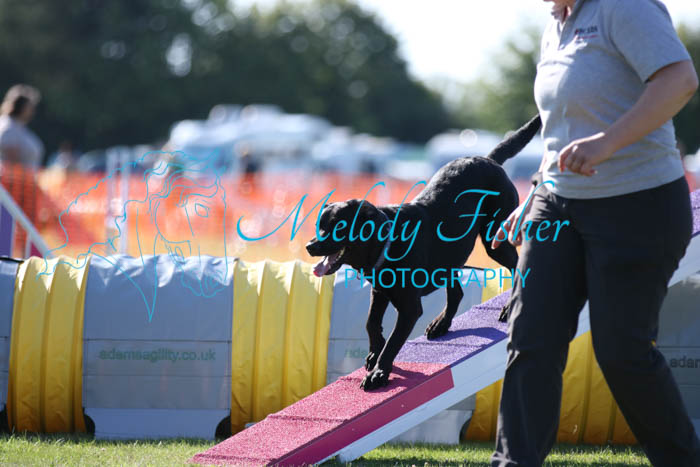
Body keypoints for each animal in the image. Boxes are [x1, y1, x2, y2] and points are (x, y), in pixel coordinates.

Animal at [306, 115, 541, 391]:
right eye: (320, 225)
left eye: (338, 226)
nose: (310, 246)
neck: (385, 243)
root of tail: (488, 159)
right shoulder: (379, 292)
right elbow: (371, 323)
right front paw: (374, 353)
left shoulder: (409, 308)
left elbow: (394, 342)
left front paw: (379, 373)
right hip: (452, 255)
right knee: (457, 292)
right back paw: (441, 324)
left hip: (494, 237)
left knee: (516, 265)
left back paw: (506, 308)